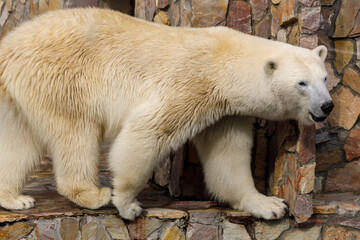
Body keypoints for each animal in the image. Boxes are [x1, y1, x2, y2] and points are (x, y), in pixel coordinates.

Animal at [0, 8, 332, 219]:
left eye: (325, 78)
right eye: (302, 83)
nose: (327, 106)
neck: (224, 62)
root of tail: (9, 44)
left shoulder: (226, 111)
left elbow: (228, 157)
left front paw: (270, 205)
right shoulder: (191, 84)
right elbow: (148, 131)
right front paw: (127, 204)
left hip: (21, 92)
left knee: (18, 142)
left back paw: (15, 198)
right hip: (63, 79)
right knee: (76, 132)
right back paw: (93, 195)